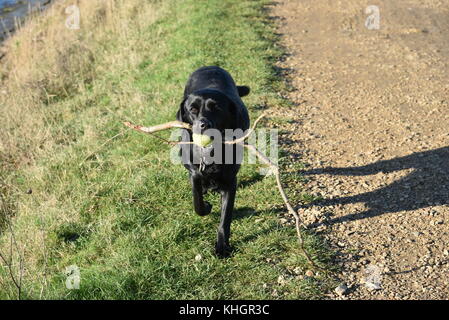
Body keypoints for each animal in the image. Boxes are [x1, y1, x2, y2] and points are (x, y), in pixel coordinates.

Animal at [176, 65, 252, 258]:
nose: (203, 124)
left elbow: (226, 218)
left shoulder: (230, 182)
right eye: (192, 109)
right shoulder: (194, 173)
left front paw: (222, 246)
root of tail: (210, 66)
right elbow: (197, 201)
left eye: (216, 108)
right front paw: (207, 206)